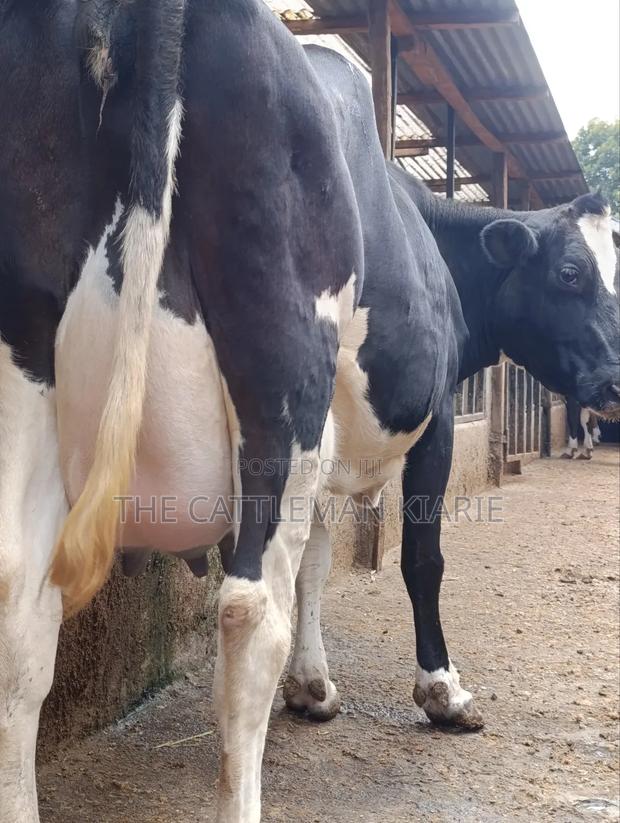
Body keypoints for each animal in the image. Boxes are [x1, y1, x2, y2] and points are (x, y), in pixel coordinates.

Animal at [0, 7, 618, 823]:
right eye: (573, 273)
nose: (615, 379)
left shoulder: (326, 451)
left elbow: (319, 562)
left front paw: (313, 685)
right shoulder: (434, 420)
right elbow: (421, 559)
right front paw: (443, 691)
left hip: (24, 371)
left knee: (19, 611)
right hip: (282, 381)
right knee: (248, 611)